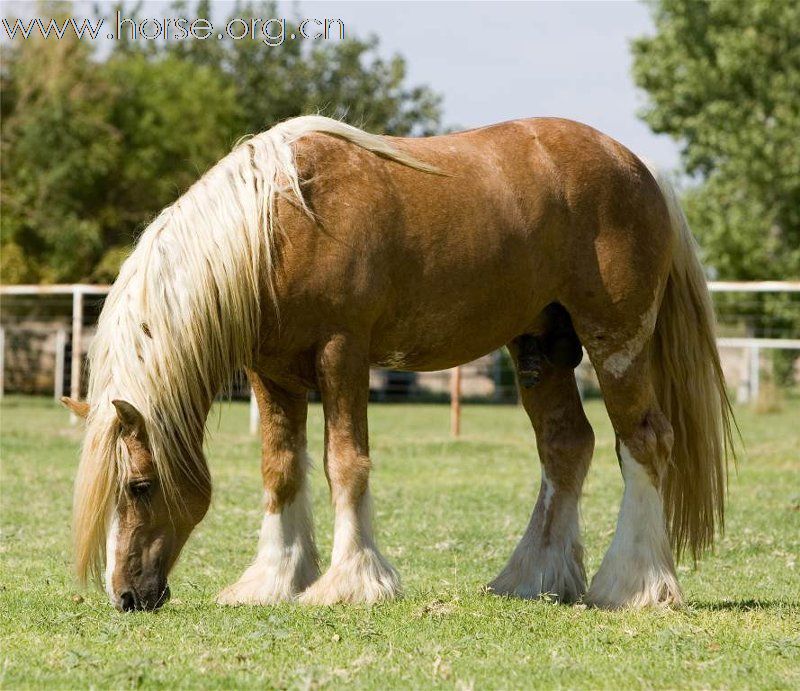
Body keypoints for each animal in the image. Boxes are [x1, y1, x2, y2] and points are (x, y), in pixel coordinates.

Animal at [62, 116, 736, 612]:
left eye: (139, 485)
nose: (126, 596)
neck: (277, 226)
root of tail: (637, 166)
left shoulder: (342, 352)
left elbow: (344, 462)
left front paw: (351, 582)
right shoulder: (271, 371)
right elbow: (281, 468)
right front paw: (274, 581)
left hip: (615, 339)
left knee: (646, 441)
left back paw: (632, 585)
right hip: (540, 347)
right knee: (567, 445)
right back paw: (531, 579)